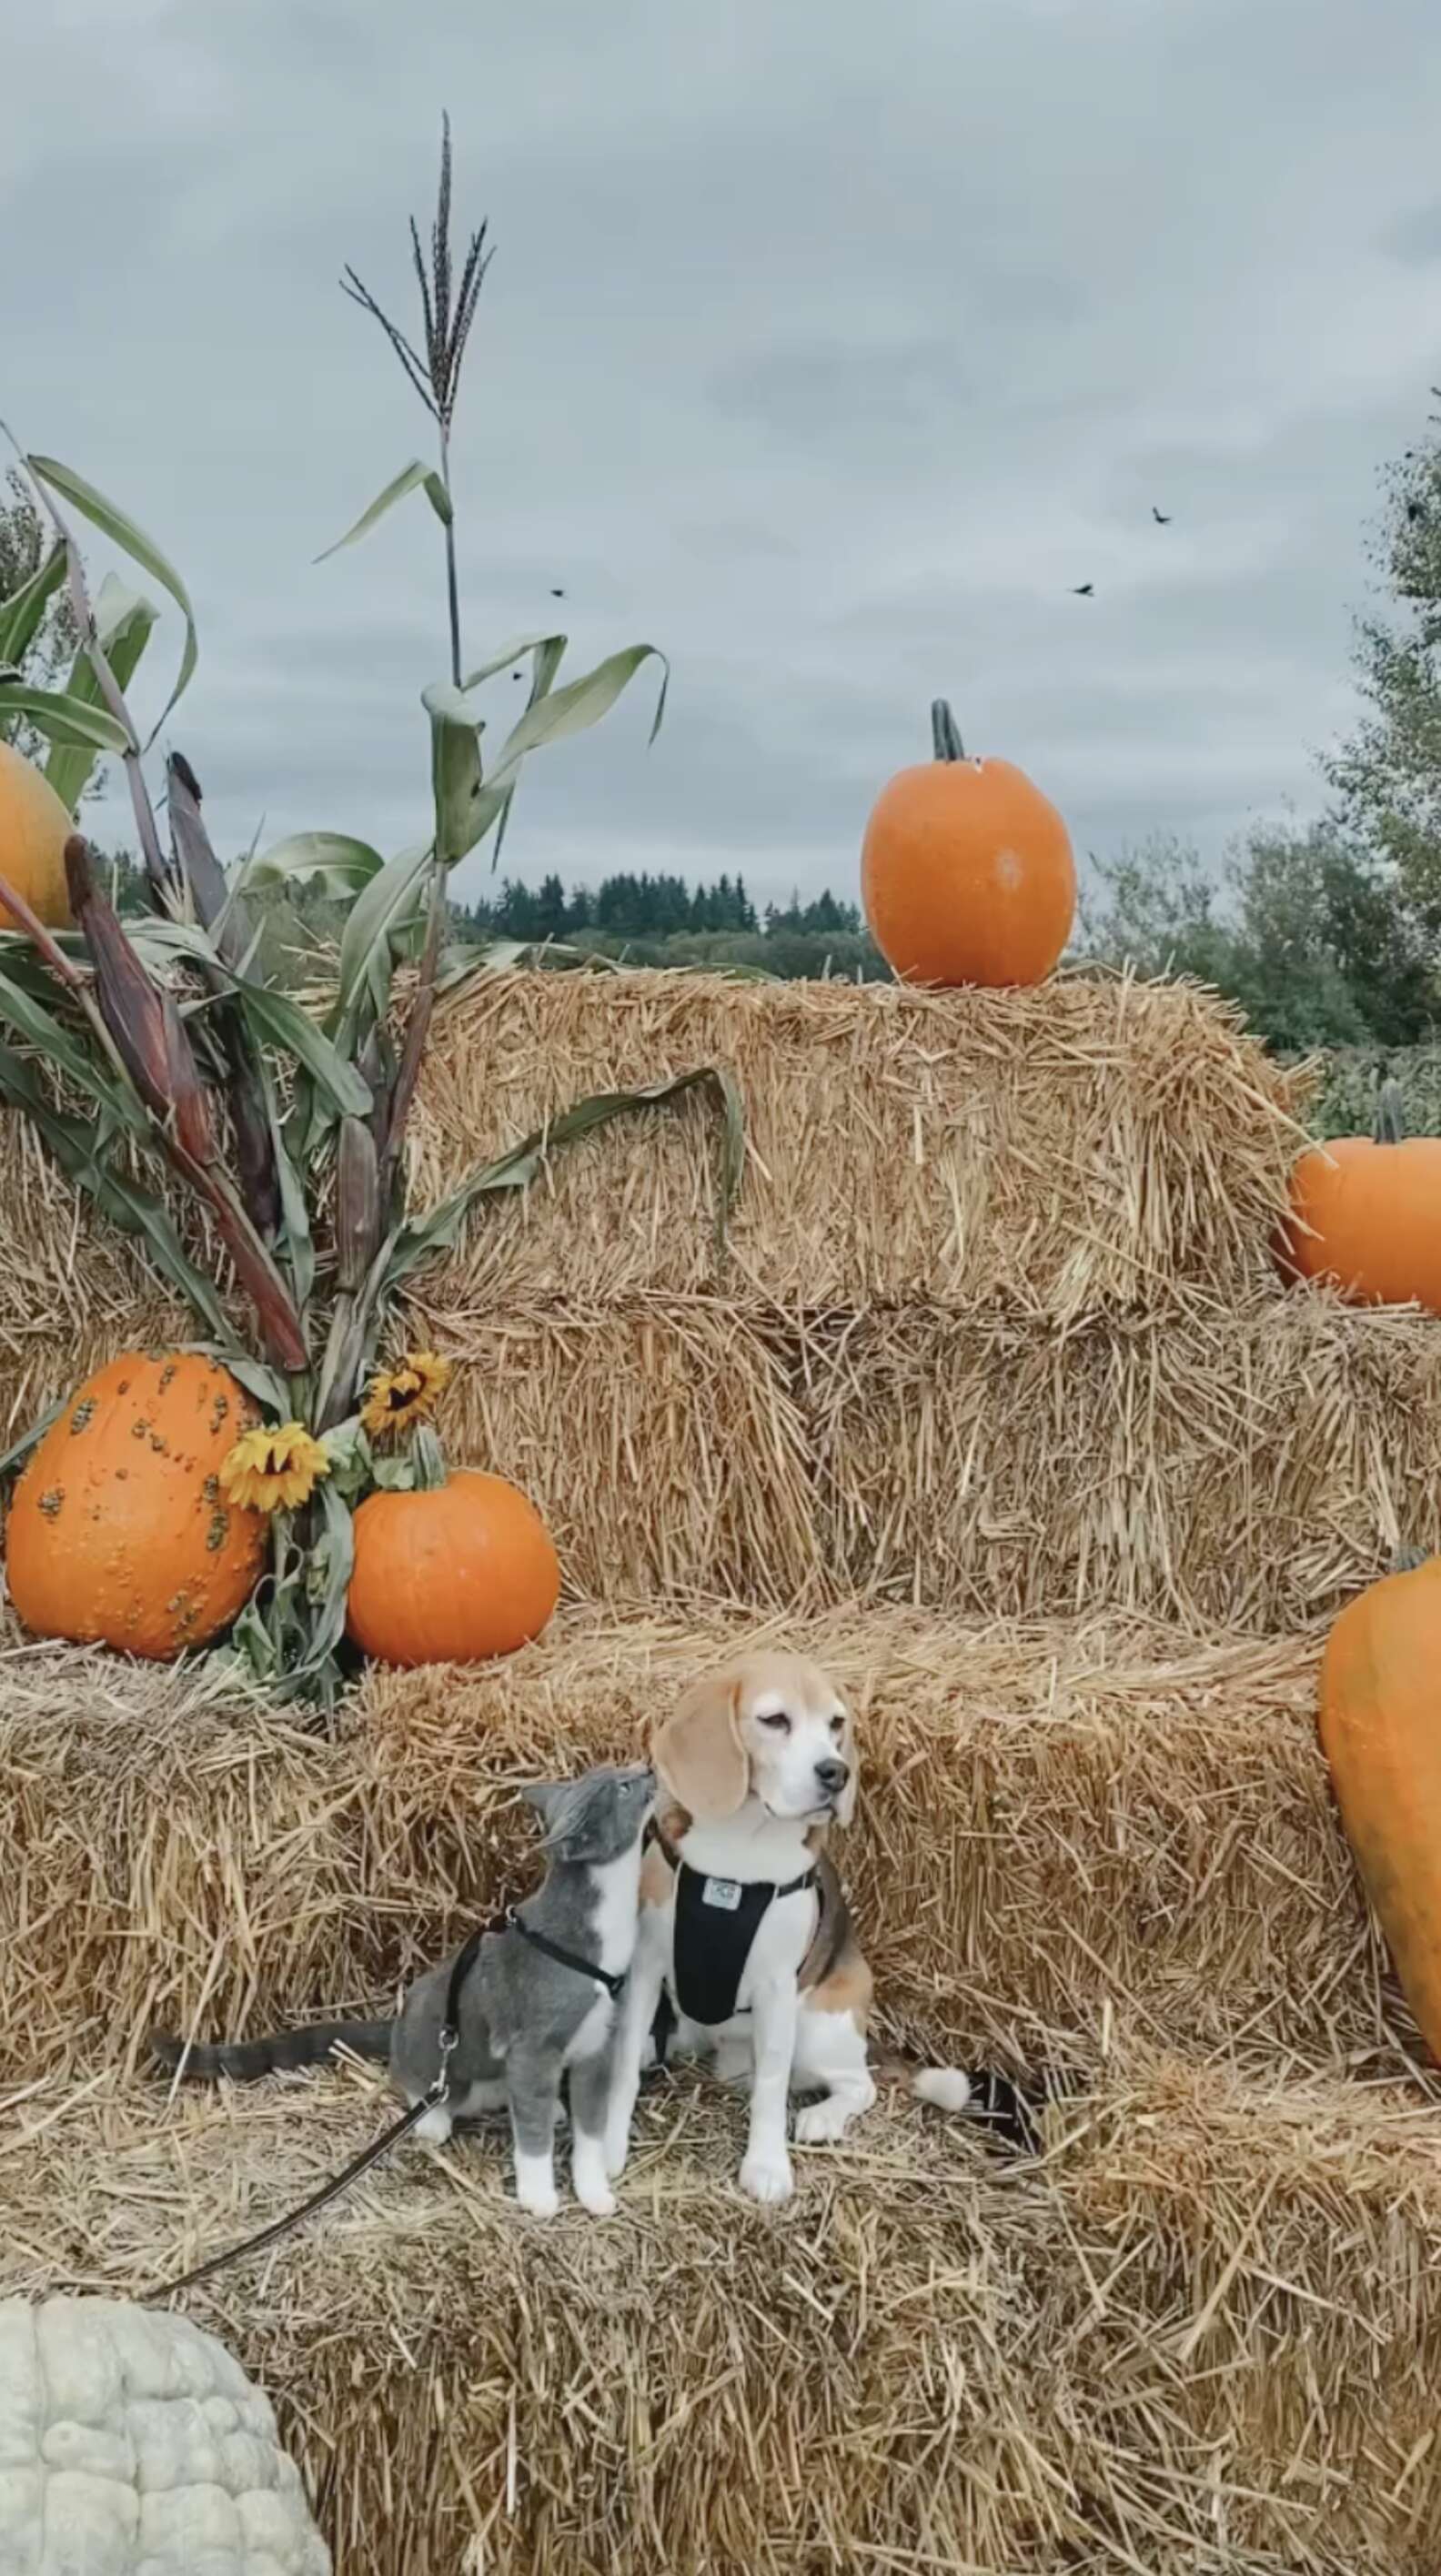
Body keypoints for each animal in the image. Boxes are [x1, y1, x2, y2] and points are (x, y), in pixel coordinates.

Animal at [152, 1762, 654, 2225]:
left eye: (624, 1772)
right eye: (624, 1787)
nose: (648, 1769)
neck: (599, 1934)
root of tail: (395, 2023)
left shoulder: (595, 2048)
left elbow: (590, 2132)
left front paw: (594, 2192)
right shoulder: (533, 2048)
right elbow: (531, 2137)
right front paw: (539, 2197)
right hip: (433, 2053)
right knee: (418, 2081)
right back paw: (434, 2117)